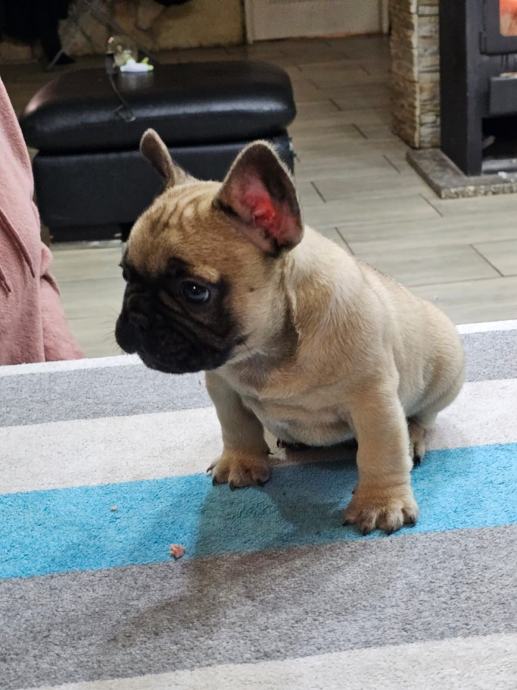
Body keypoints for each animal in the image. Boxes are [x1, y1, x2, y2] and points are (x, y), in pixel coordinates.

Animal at [115, 129, 465, 535]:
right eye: (125, 274)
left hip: (446, 370)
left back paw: (415, 436)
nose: (137, 315)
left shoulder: (374, 401)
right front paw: (241, 462)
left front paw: (380, 504)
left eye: (195, 291)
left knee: (424, 416)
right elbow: (235, 425)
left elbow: (380, 453)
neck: (268, 351)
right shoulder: (222, 387)